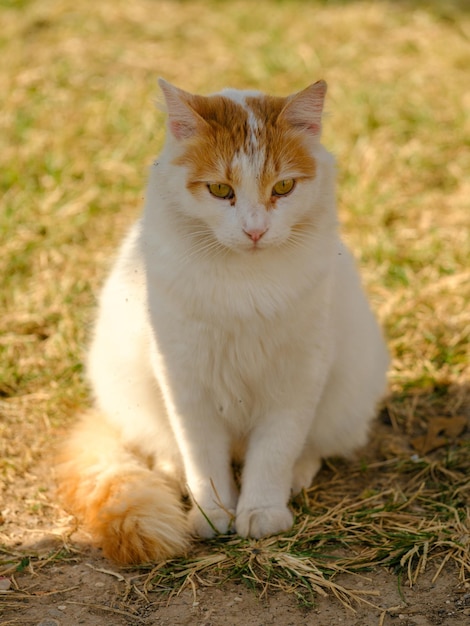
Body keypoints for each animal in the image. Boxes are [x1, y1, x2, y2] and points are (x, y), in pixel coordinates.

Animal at [57, 77, 390, 560]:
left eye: (283, 186)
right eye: (219, 190)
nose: (255, 230)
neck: (243, 285)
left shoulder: (297, 376)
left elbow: (274, 452)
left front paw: (263, 511)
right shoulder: (185, 380)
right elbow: (203, 460)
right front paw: (212, 514)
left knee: (310, 447)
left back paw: (296, 475)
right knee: (166, 447)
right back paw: (174, 471)